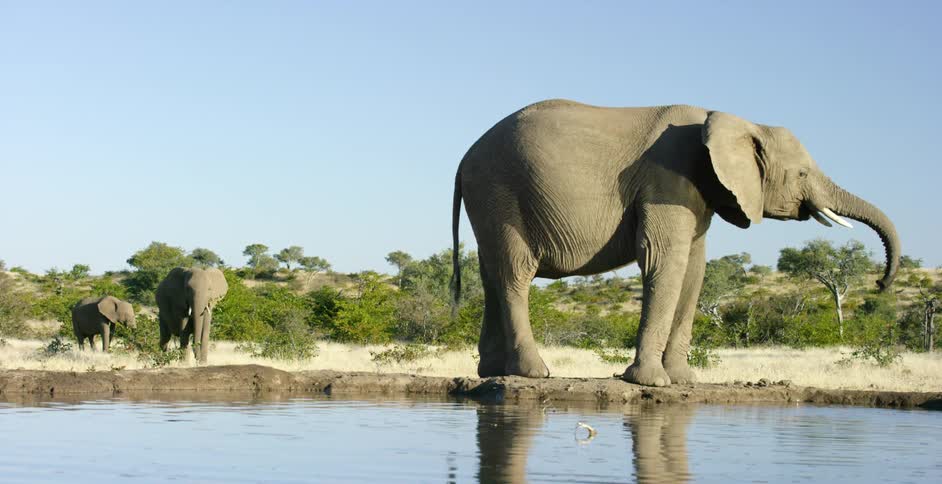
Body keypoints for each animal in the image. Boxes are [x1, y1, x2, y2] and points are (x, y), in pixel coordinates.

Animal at [451, 99, 900, 385]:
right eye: (803, 174)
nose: (881, 283)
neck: (732, 120)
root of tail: (462, 160)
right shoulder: (667, 178)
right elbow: (662, 261)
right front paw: (651, 383)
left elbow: (694, 271)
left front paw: (684, 380)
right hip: (500, 192)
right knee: (514, 275)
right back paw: (534, 373)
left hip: (489, 199)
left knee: (492, 276)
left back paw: (493, 373)